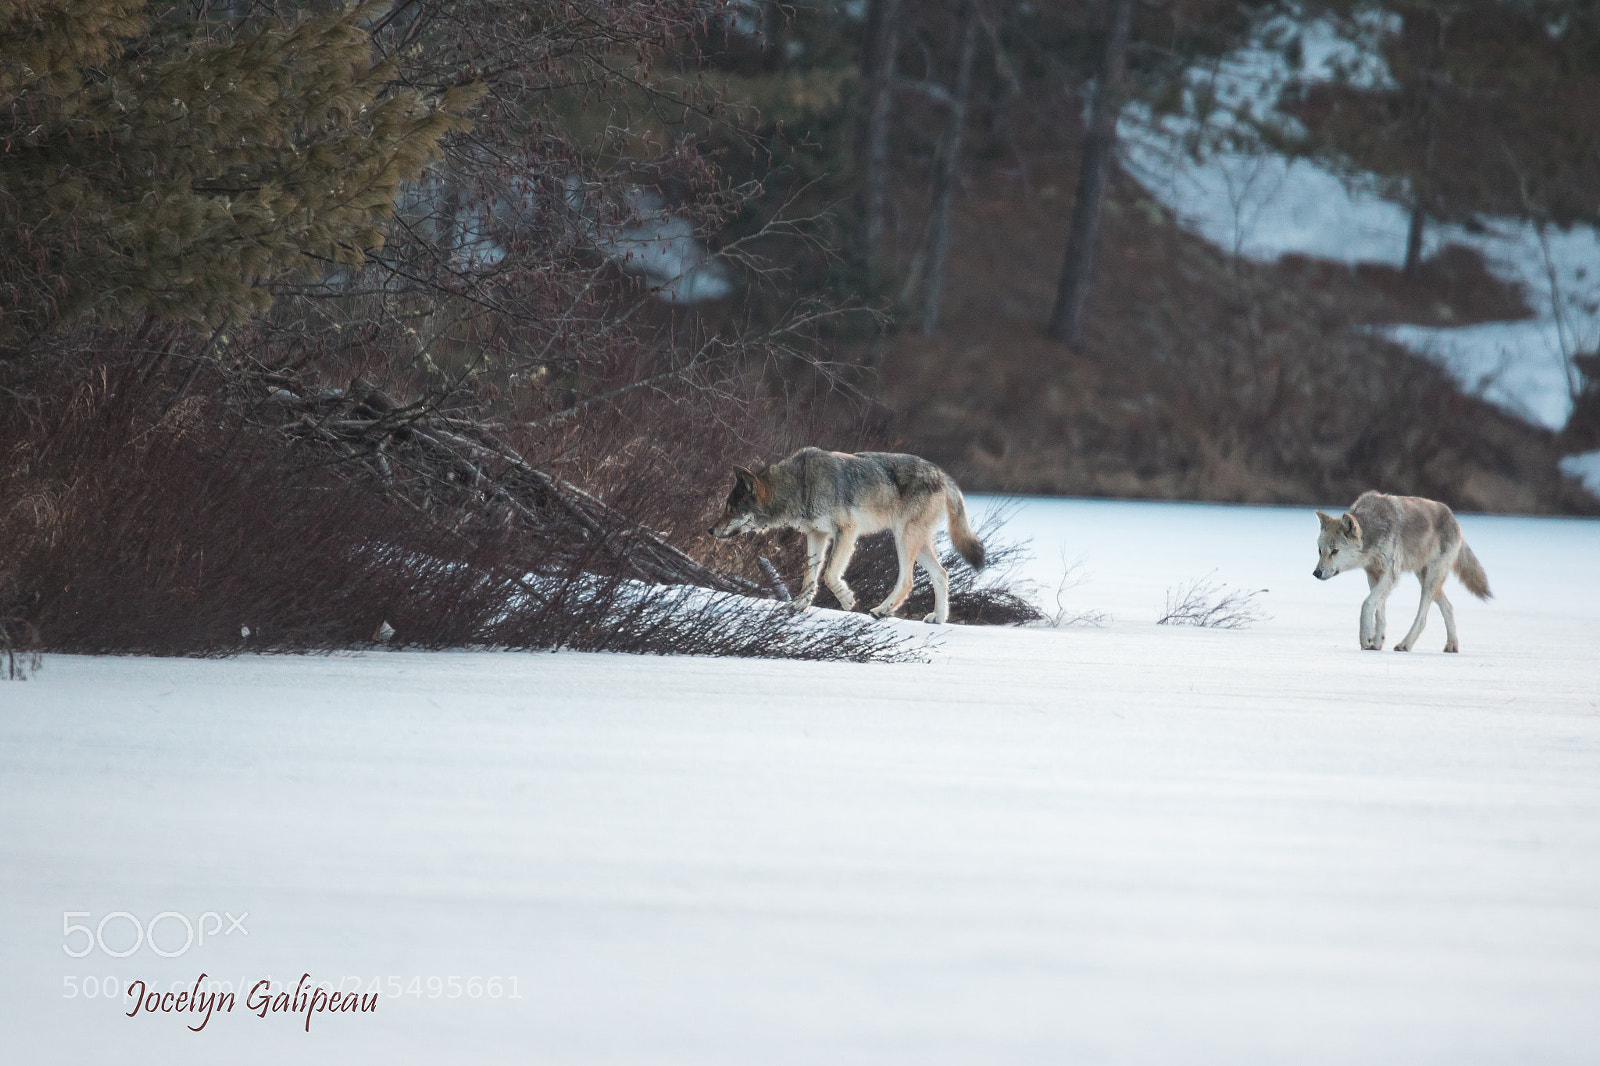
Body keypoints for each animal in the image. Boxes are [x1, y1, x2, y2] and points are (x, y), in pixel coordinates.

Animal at [708, 447, 986, 624]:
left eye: (730, 509)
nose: (710, 530)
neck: (800, 486)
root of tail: (944, 475)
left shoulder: (847, 531)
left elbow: (830, 575)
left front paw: (847, 600)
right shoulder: (817, 535)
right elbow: (810, 577)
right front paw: (799, 605)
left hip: (903, 539)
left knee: (908, 581)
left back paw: (881, 611)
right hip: (917, 543)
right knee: (942, 574)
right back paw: (938, 618)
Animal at [1313, 491, 1491, 652]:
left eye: (1334, 551)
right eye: (1320, 551)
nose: (1316, 573)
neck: (1374, 531)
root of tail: (1454, 518)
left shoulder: (1391, 574)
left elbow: (1367, 604)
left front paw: (1365, 637)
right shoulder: (1373, 575)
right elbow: (1379, 611)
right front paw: (1377, 641)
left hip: (1429, 582)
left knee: (1423, 618)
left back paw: (1405, 644)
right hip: (1425, 579)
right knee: (1448, 606)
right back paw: (1452, 645)